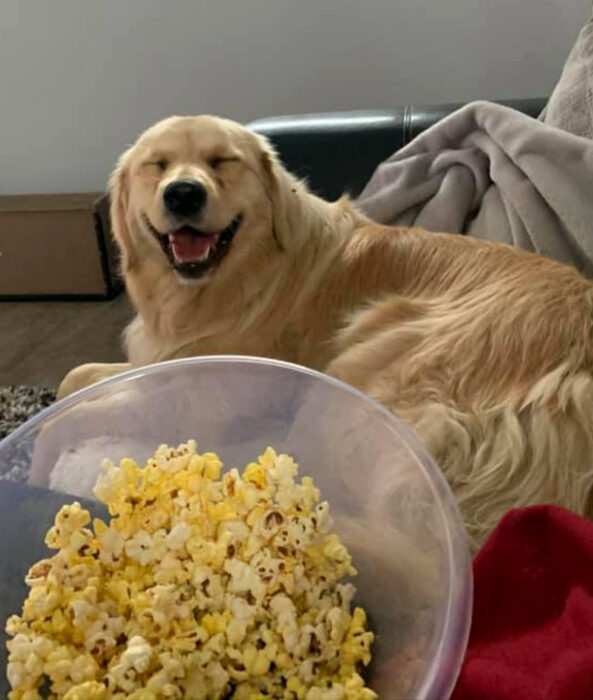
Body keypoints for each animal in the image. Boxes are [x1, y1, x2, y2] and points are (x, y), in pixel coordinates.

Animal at [57, 116, 592, 552]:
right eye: (157, 165)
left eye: (223, 161)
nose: (183, 193)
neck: (234, 279)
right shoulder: (160, 357)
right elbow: (75, 375)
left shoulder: (207, 394)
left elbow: (92, 412)